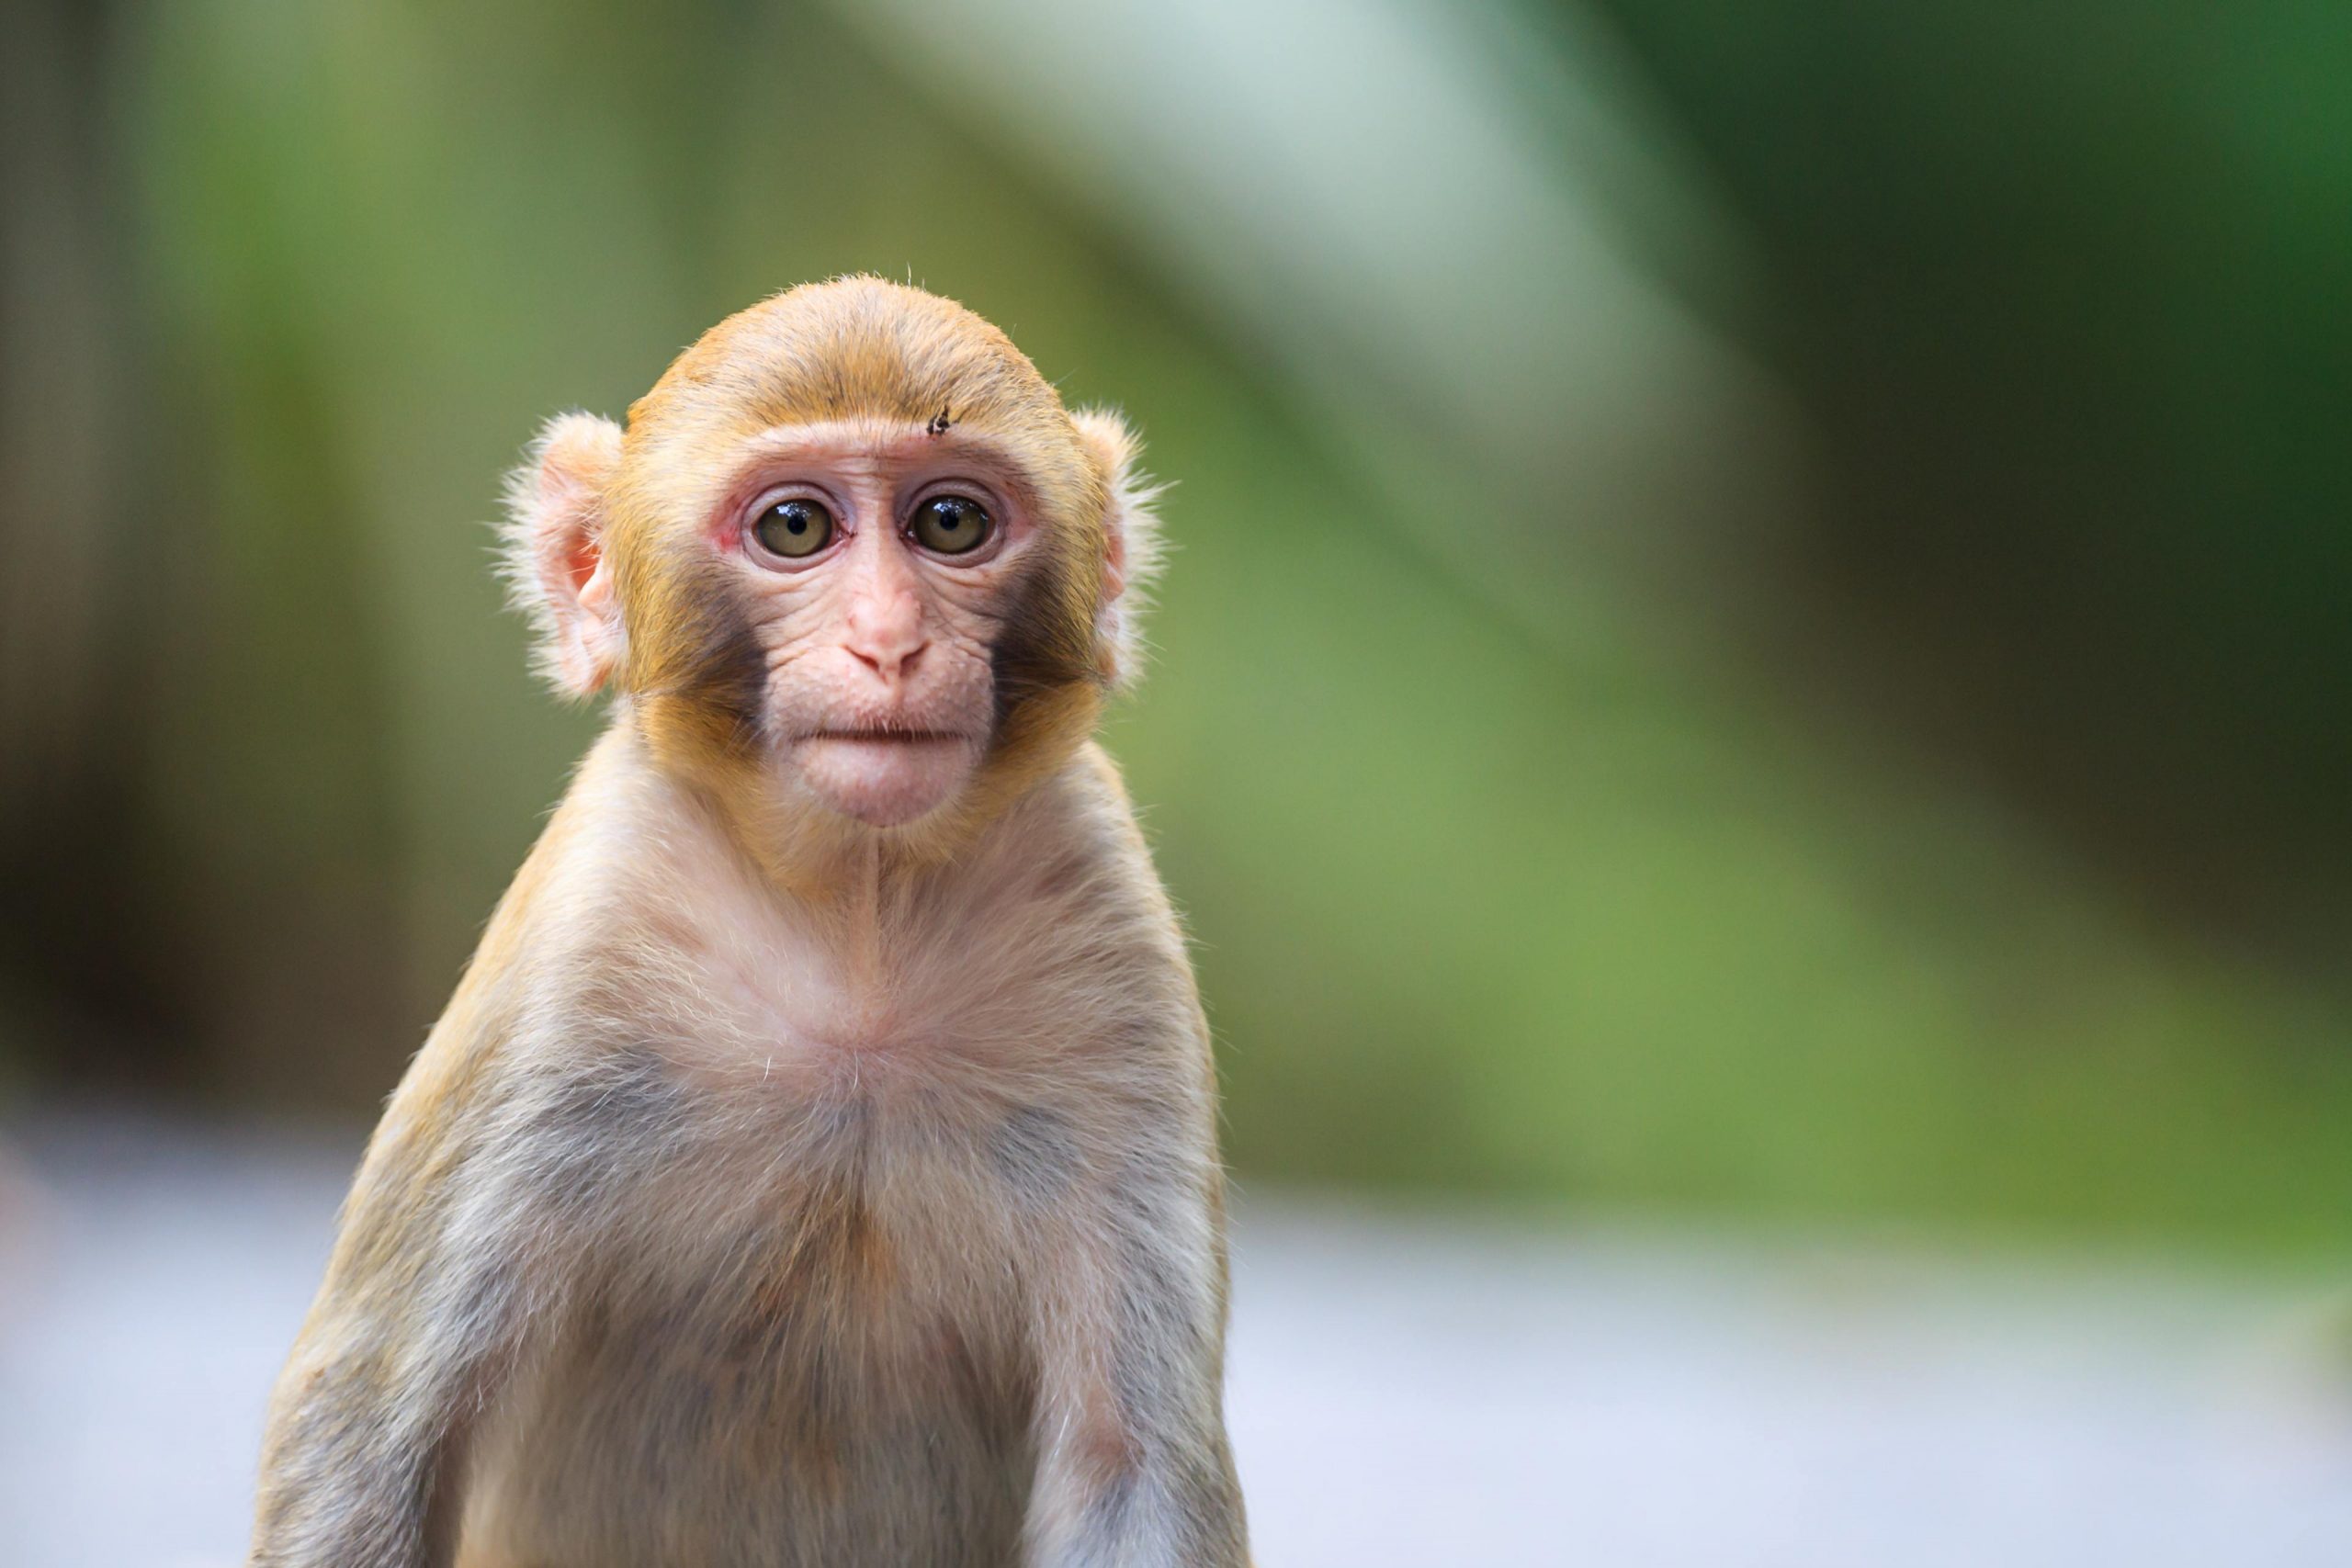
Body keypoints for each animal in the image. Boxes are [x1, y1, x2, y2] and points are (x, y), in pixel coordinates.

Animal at [243, 278, 1250, 1568]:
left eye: (952, 522)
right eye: (795, 529)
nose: (889, 642)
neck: (859, 921)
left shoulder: (1112, 936)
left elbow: (1133, 1464)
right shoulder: (578, 941)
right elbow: (369, 1418)